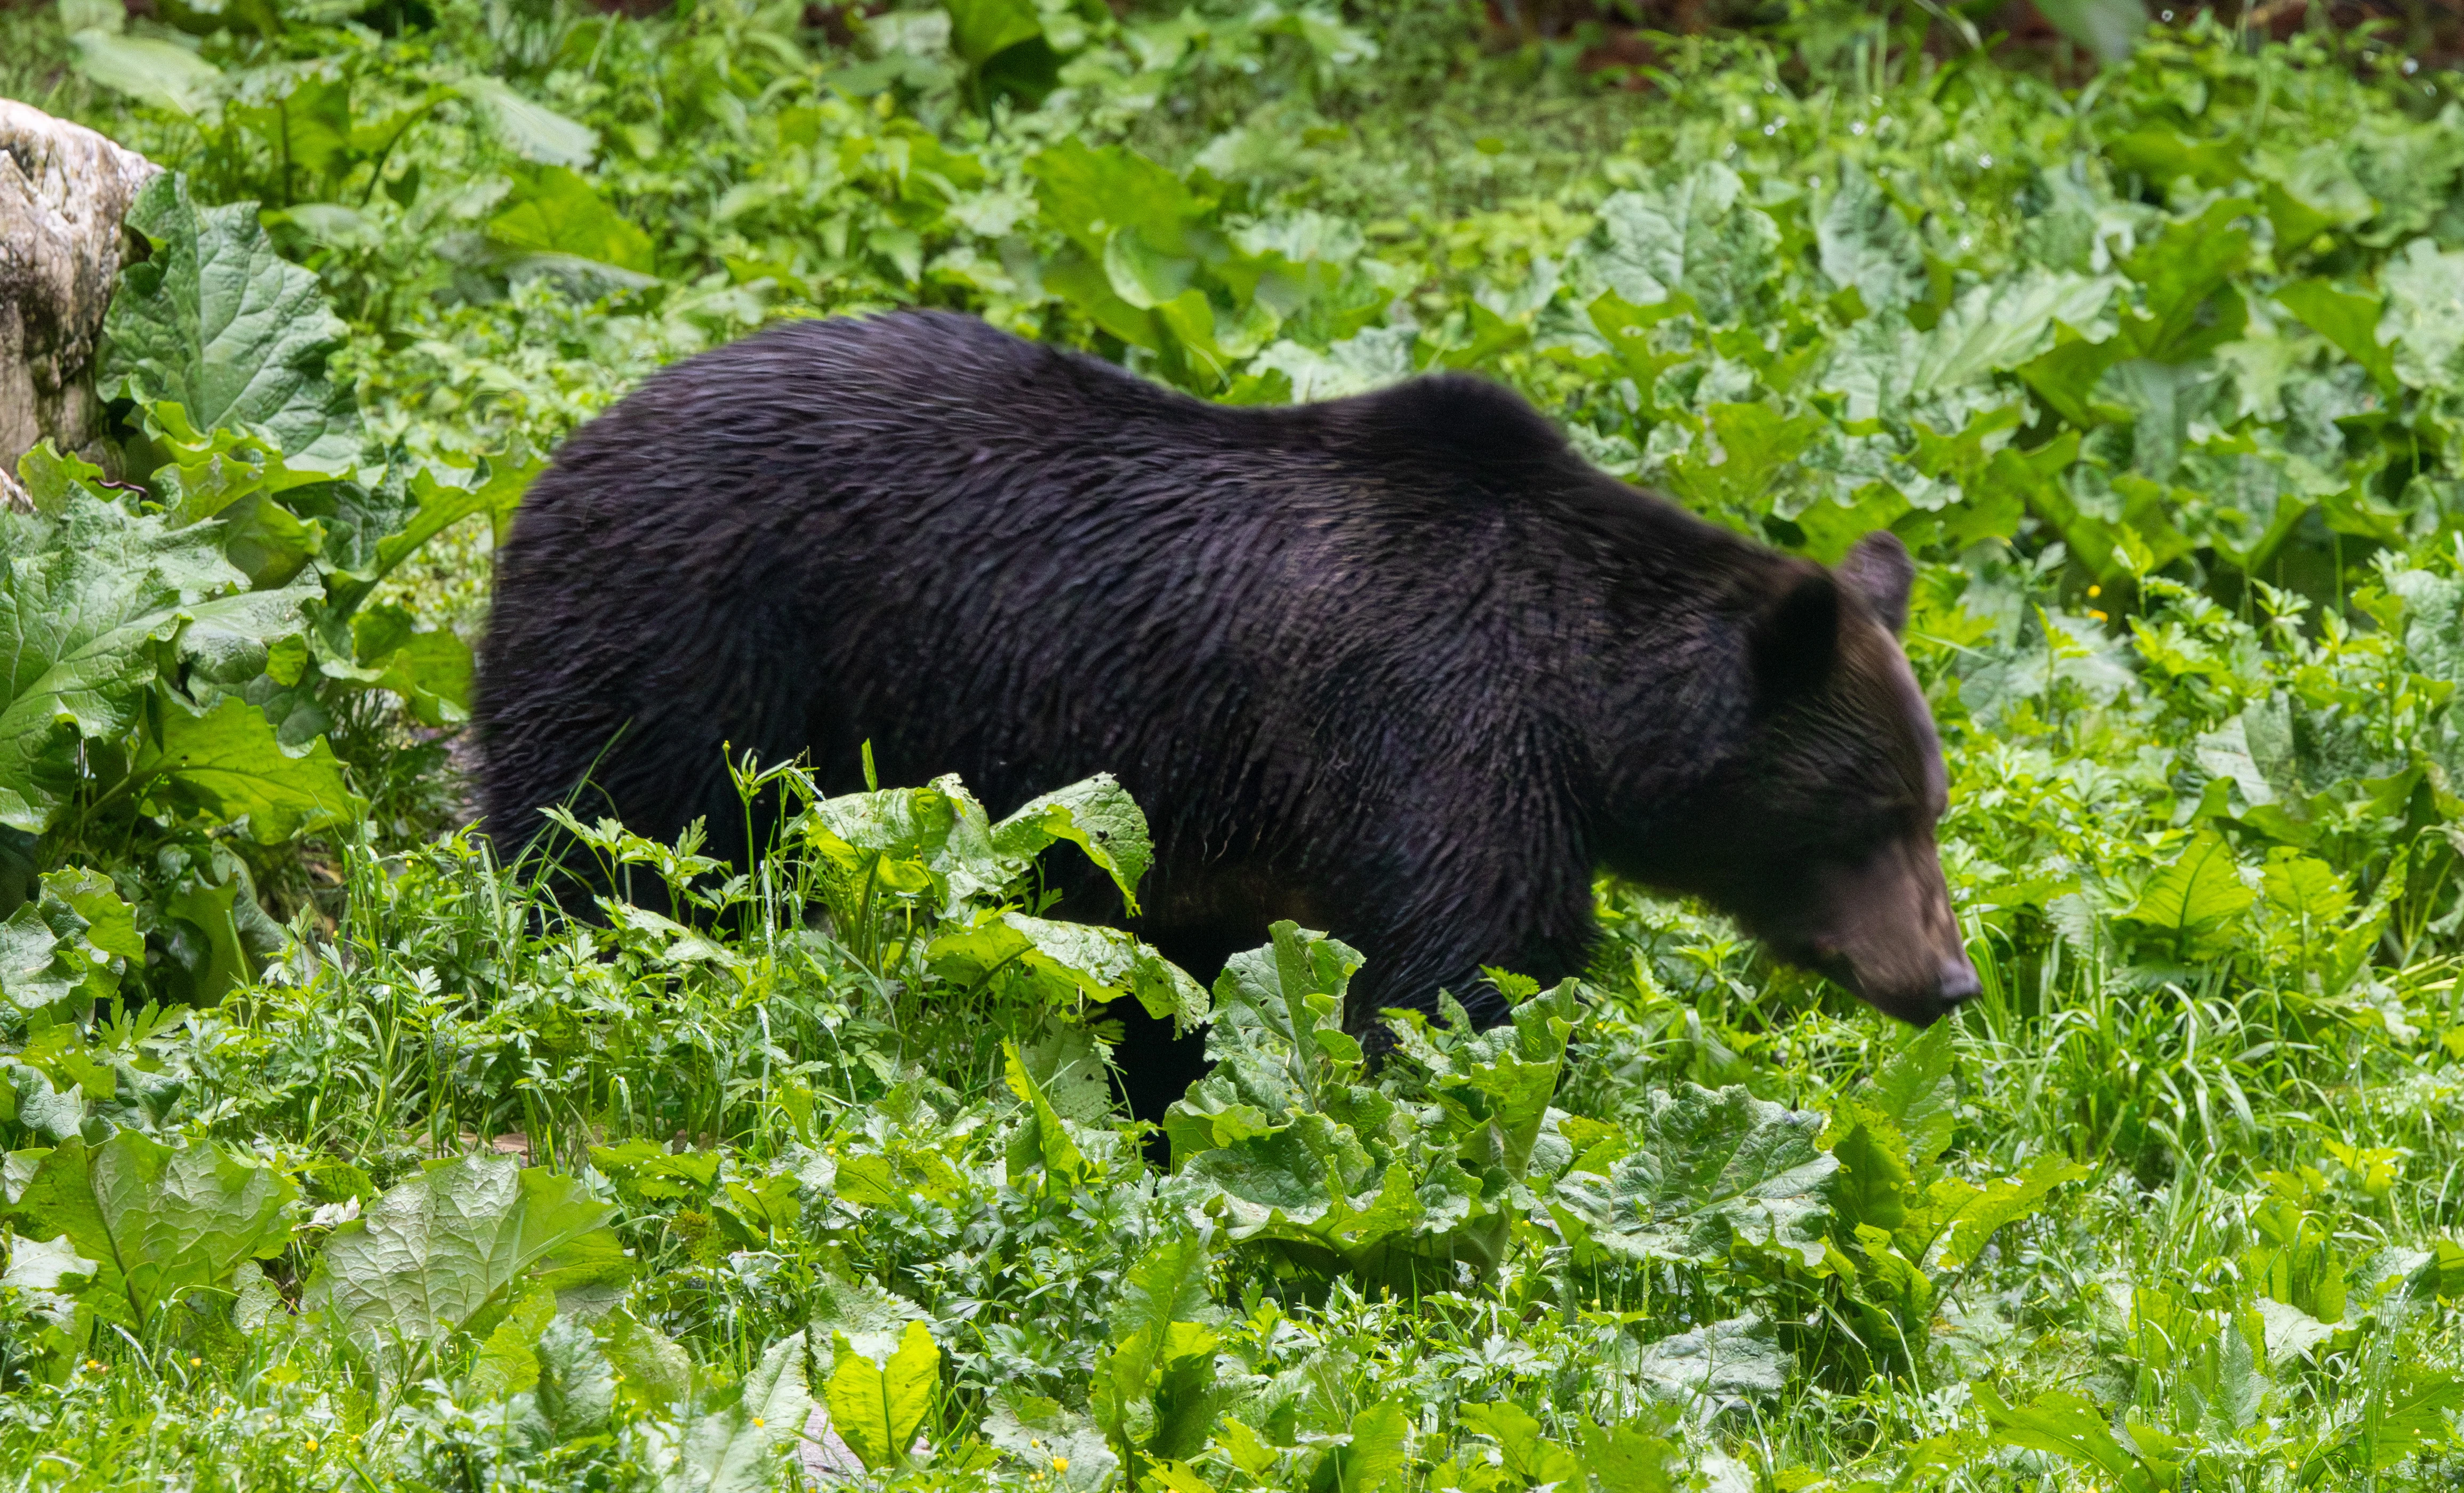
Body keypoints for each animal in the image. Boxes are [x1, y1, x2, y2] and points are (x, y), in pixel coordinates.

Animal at [476, 310, 1976, 1120]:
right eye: (1868, 816)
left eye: (1928, 807)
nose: (1948, 980)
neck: (1578, 707)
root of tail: (561, 453)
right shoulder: (1431, 727)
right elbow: (1460, 976)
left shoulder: (1208, 823)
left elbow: (1182, 984)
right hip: (690, 650)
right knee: (608, 844)